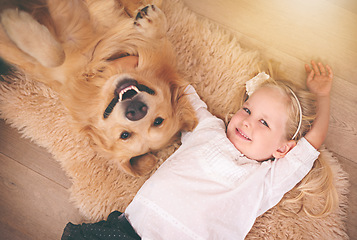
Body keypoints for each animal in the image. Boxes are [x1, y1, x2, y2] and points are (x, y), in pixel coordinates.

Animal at [0, 0, 197, 176]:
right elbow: (55, 56)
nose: (136, 111)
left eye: (157, 121)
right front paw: (152, 23)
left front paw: (13, 20)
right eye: (125, 135)